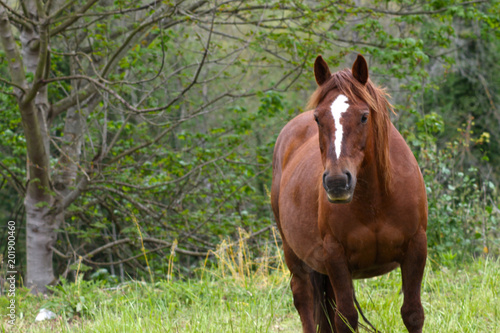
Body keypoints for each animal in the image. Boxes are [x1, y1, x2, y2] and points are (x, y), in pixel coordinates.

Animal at [272, 55, 428, 332]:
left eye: (364, 116)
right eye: (318, 118)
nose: (337, 182)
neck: (376, 201)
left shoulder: (416, 248)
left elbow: (412, 313)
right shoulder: (336, 256)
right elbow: (346, 318)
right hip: (295, 255)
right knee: (303, 299)